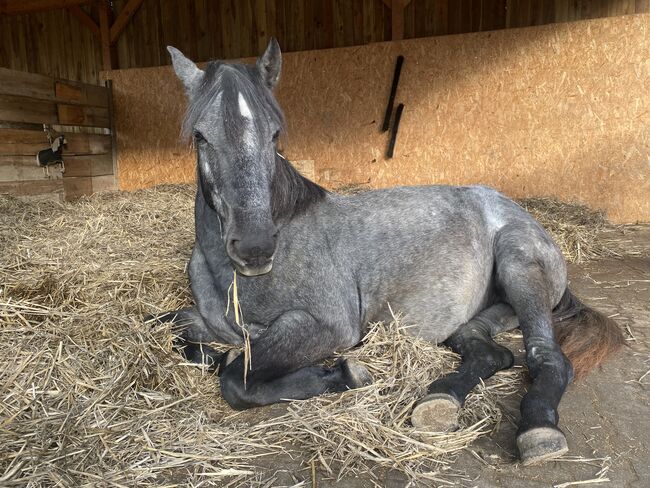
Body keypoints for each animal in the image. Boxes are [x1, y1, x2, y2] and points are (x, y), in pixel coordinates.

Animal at [156, 39, 624, 466]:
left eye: (274, 134)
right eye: (200, 136)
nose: (255, 248)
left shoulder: (328, 327)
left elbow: (237, 379)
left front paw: (344, 373)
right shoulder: (209, 322)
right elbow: (172, 331)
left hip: (518, 264)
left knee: (547, 357)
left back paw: (537, 430)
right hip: (482, 314)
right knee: (490, 351)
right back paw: (440, 400)